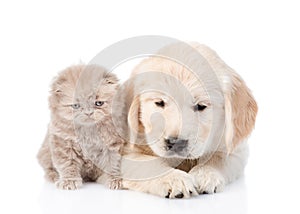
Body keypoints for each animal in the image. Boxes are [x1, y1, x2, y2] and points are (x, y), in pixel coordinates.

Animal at [119, 42, 258, 199]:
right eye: (159, 103)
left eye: (201, 106)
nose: (175, 143)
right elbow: (147, 164)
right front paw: (174, 179)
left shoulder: (235, 148)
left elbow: (219, 158)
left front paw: (204, 174)